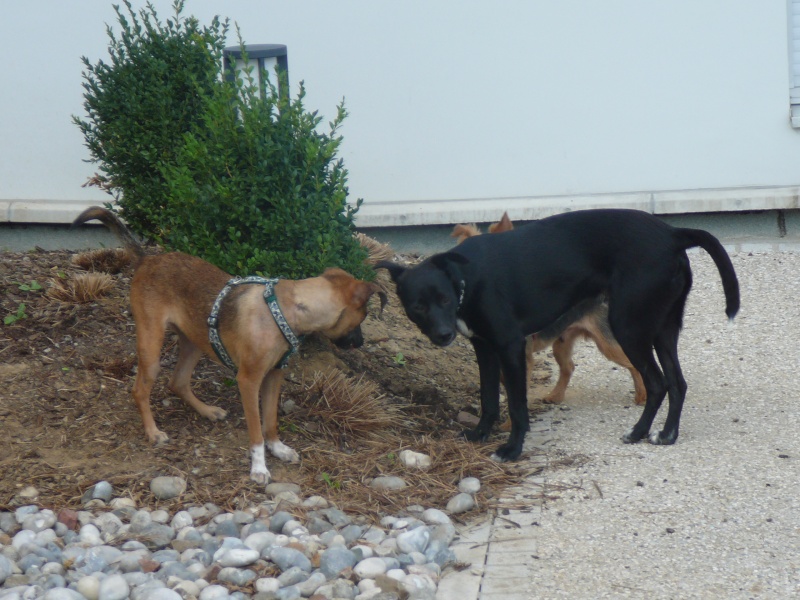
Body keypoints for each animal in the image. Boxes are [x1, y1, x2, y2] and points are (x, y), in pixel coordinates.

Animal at [73, 209, 382, 486]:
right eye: (364, 316)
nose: (361, 342)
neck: (285, 310)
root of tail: (149, 259)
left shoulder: (274, 375)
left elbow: (271, 421)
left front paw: (278, 448)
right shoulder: (248, 381)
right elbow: (256, 431)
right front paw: (259, 467)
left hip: (194, 342)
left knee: (178, 382)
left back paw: (208, 411)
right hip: (151, 346)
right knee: (140, 390)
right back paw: (153, 432)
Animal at [454, 213, 648, 420]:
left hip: (608, 344)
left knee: (634, 364)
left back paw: (642, 396)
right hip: (562, 342)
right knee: (568, 367)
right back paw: (556, 396)